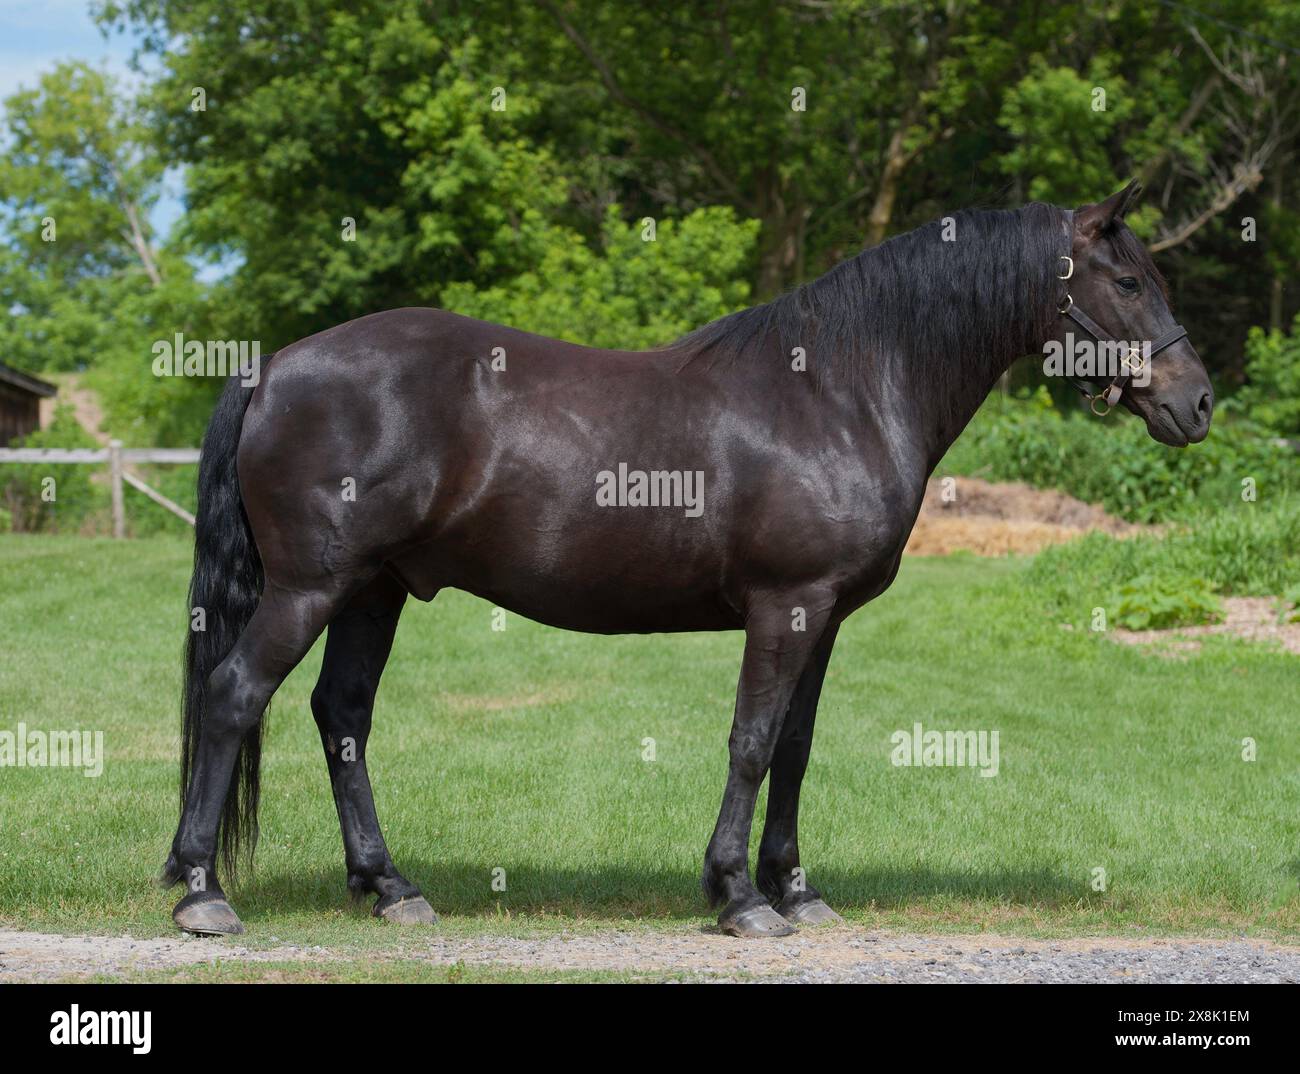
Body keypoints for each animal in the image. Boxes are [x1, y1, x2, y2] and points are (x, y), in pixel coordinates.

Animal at [159, 184, 1206, 936]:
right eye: (1126, 283)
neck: (841, 391)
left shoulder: (822, 617)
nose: (1196, 402)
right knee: (235, 695)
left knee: (342, 717)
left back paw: (388, 887)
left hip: (373, 591)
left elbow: (795, 747)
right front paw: (738, 896)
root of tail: (273, 367)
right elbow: (750, 742)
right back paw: (204, 893)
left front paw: (796, 890)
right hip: (312, 587)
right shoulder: (785, 606)